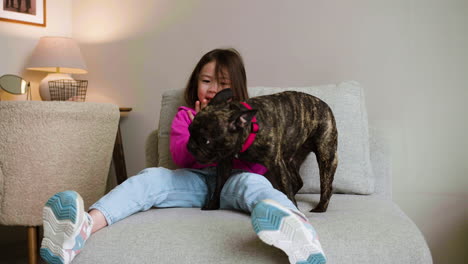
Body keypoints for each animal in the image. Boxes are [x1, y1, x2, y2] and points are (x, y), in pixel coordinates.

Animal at [188, 88, 338, 212]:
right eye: (189, 130)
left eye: (206, 141)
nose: (190, 147)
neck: (251, 129)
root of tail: (326, 106)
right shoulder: (224, 162)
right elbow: (219, 186)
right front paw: (212, 205)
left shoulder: (277, 165)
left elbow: (285, 186)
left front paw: (293, 208)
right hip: (289, 159)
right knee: (297, 181)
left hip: (325, 155)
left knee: (326, 186)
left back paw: (320, 208)